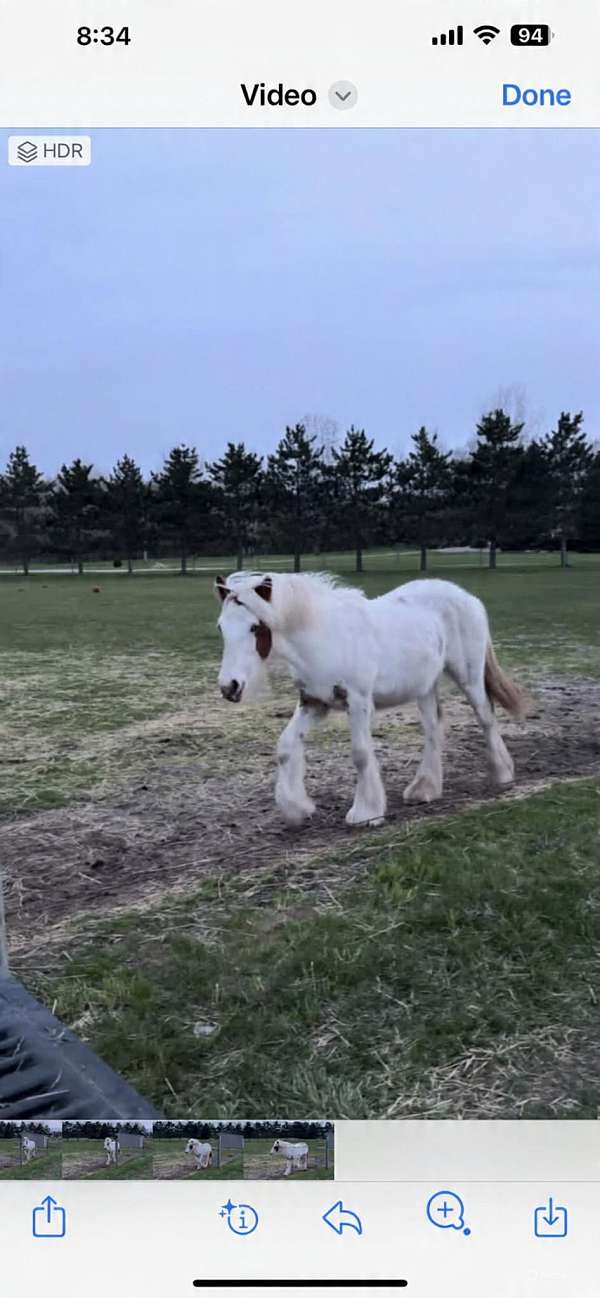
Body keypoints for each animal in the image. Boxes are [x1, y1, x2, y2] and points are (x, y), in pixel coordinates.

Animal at [215, 571, 529, 827]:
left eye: (255, 627)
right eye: (221, 627)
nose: (229, 687)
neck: (323, 637)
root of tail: (468, 597)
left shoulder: (358, 701)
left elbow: (361, 754)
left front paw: (366, 813)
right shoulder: (314, 703)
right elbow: (285, 746)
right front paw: (297, 809)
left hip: (469, 676)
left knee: (485, 716)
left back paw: (502, 775)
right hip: (425, 686)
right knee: (433, 728)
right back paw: (424, 789)